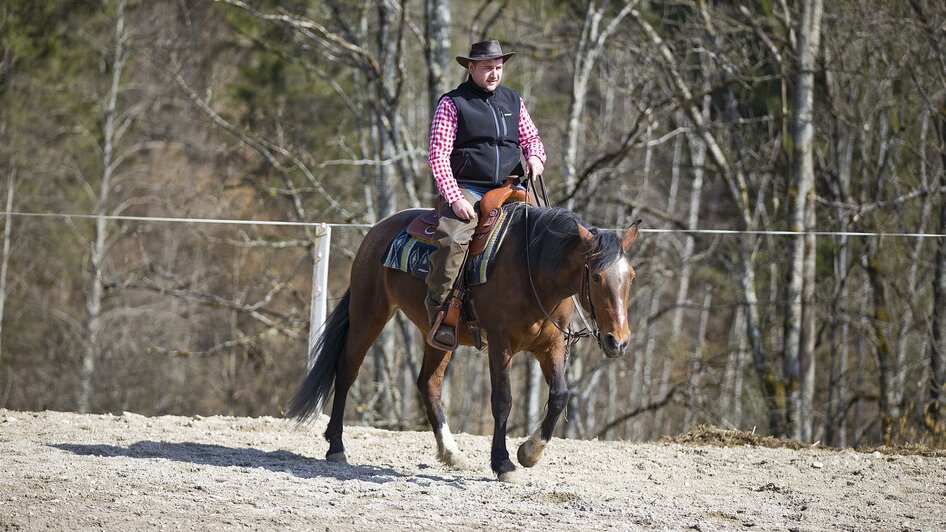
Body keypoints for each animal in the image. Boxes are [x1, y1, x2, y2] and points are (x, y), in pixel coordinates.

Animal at [288, 205, 640, 482]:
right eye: (596, 276)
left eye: (631, 276)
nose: (618, 342)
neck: (535, 269)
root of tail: (377, 231)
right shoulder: (500, 344)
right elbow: (503, 401)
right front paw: (503, 463)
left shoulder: (551, 346)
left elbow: (559, 396)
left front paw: (530, 452)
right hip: (369, 313)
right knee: (347, 370)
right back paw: (336, 447)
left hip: (438, 336)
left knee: (428, 383)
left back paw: (451, 452)